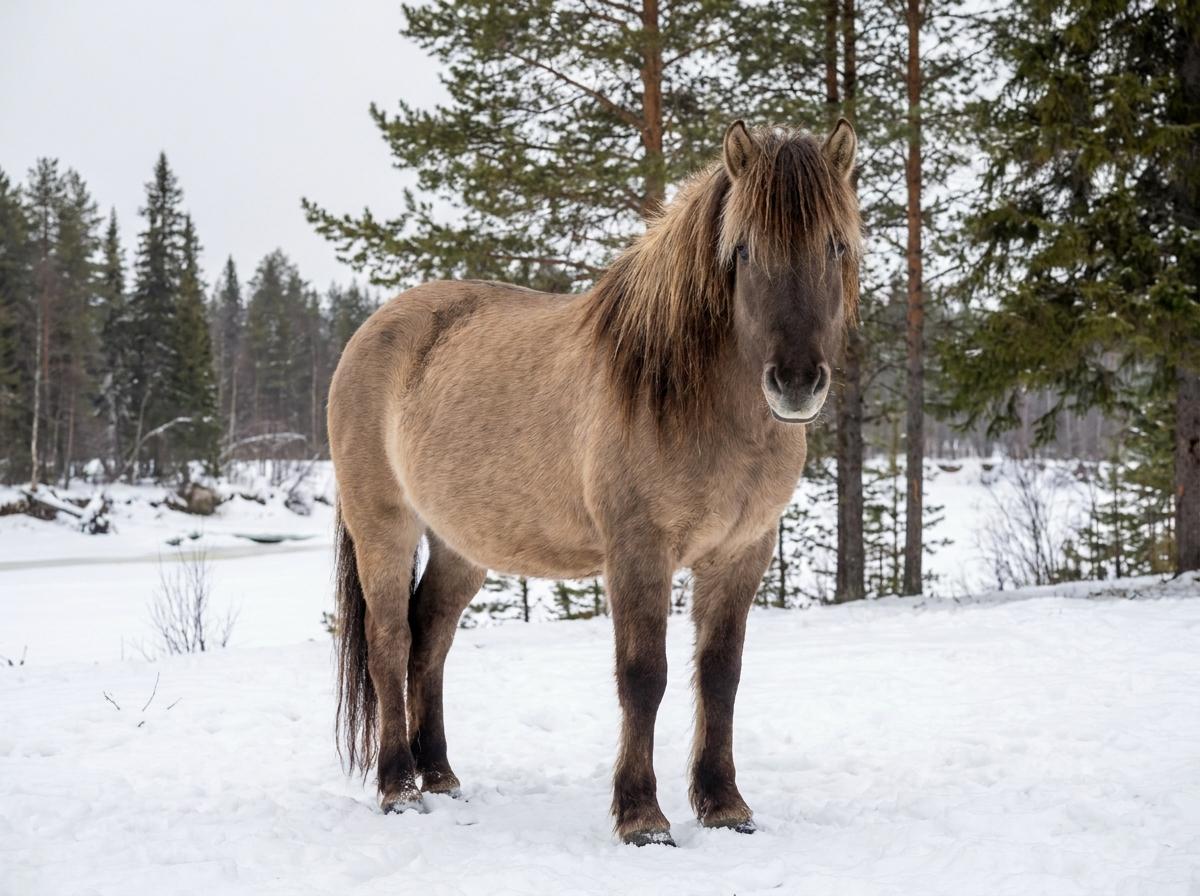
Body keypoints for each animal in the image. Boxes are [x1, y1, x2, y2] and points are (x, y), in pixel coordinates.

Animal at [328, 119, 861, 846]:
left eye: (835, 244)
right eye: (744, 250)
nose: (797, 382)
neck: (689, 398)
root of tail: (372, 331)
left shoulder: (741, 554)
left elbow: (720, 676)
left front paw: (725, 806)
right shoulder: (638, 551)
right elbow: (643, 676)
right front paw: (642, 817)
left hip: (461, 545)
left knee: (430, 639)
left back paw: (439, 777)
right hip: (383, 527)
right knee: (390, 643)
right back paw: (397, 789)